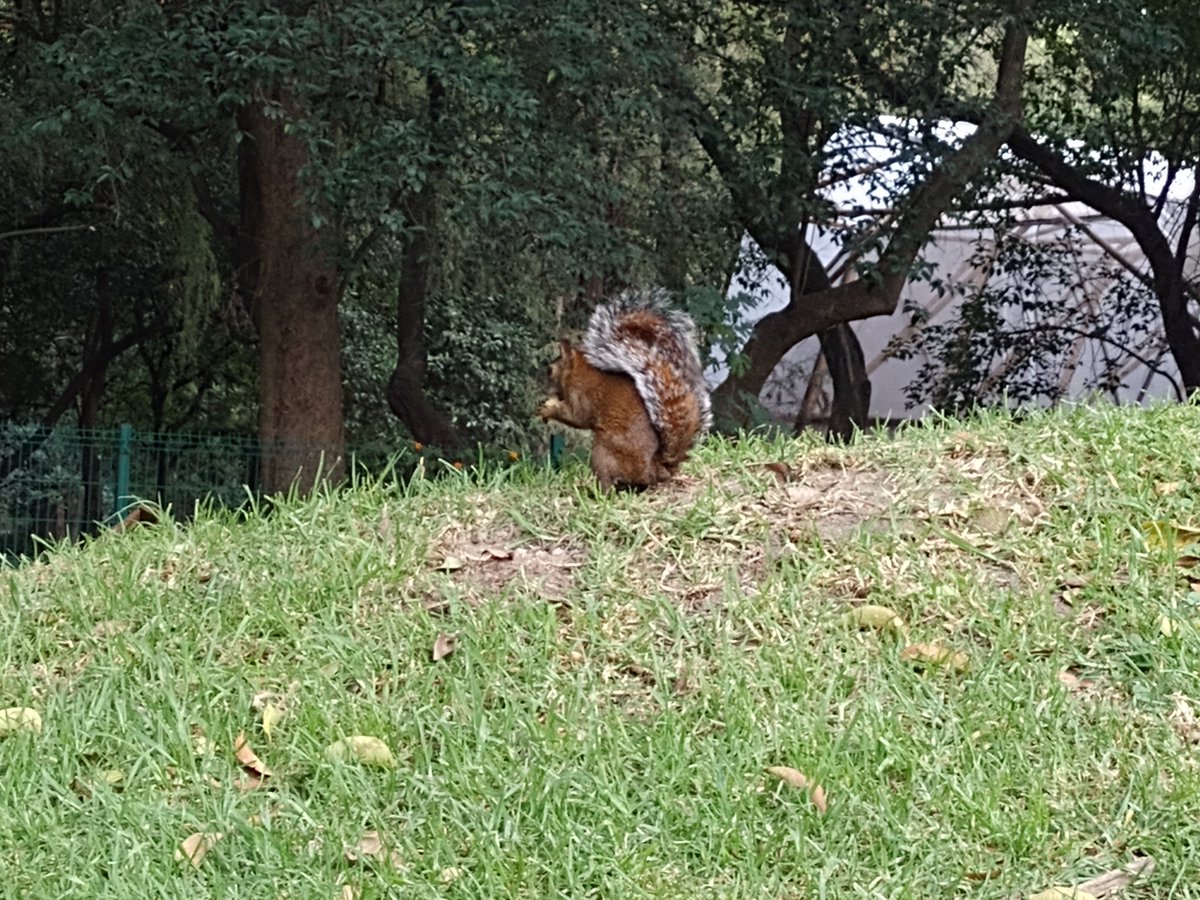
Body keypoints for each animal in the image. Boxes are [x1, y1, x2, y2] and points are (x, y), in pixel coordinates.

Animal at [537, 290, 712, 489]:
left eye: (550, 370)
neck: (577, 373)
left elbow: (577, 417)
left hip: (604, 452)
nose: (541, 388)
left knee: (608, 483)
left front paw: (547, 410)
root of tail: (655, 470)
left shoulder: (581, 396)